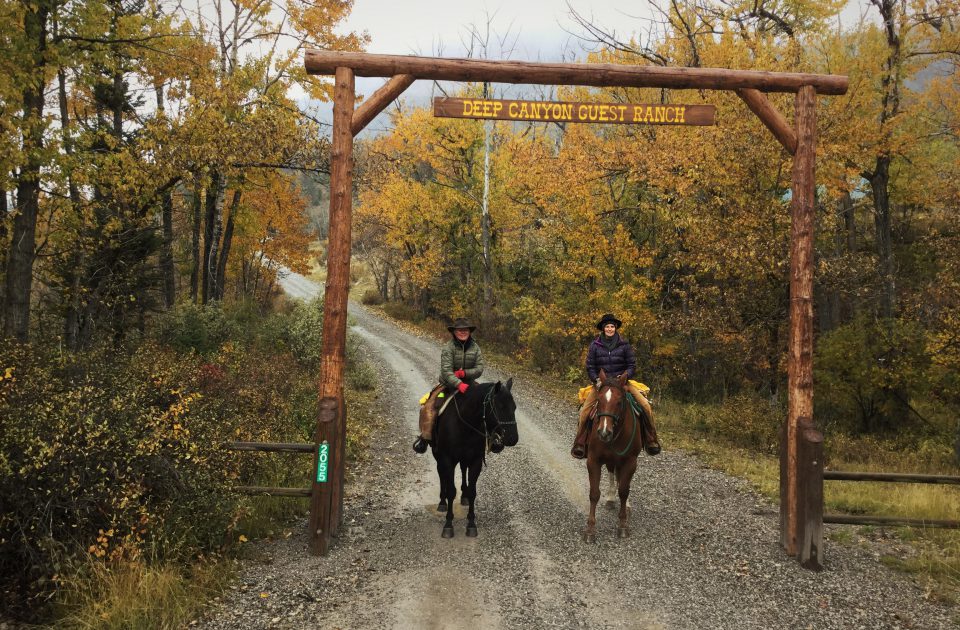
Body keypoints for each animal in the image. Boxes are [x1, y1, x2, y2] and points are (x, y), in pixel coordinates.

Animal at [430, 380, 516, 540]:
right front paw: (448, 525)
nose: (513, 438)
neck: (464, 423)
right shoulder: (447, 460)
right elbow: (451, 491)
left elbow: (472, 492)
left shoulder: (476, 461)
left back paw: (463, 496)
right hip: (438, 455)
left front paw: (471, 525)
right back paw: (442, 502)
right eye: (501, 407)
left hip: (465, 458)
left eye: (514, 407)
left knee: (463, 470)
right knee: (441, 474)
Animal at [584, 370, 644, 544]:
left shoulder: (630, 462)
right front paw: (590, 530)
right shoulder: (593, 460)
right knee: (613, 475)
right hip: (611, 460)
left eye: (619, 402)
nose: (604, 432)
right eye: (599, 400)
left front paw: (623, 525)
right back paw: (610, 498)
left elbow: (624, 491)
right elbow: (594, 493)